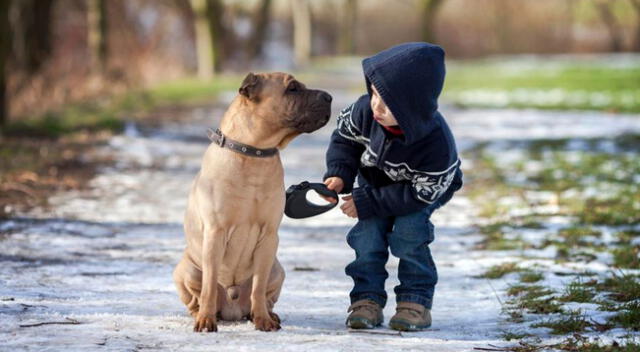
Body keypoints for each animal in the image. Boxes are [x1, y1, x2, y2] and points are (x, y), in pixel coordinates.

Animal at [172, 72, 332, 332]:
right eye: (293, 88)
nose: (329, 97)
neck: (254, 153)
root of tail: (232, 307)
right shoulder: (215, 232)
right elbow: (209, 286)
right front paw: (205, 320)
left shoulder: (268, 236)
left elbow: (258, 286)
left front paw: (263, 320)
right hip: (187, 270)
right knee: (199, 294)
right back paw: (204, 314)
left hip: (277, 269)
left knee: (264, 294)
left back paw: (267, 314)